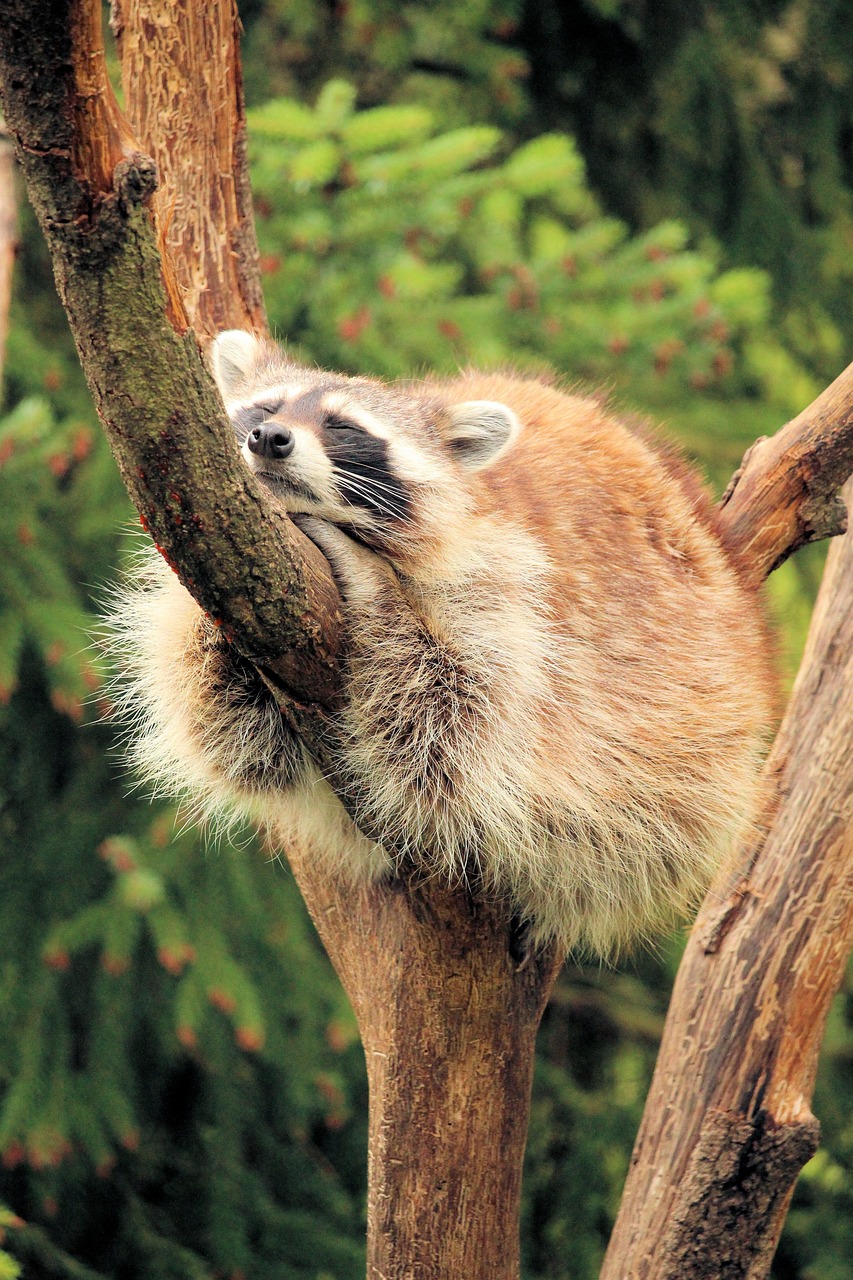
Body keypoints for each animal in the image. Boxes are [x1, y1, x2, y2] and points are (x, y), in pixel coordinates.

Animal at [105, 330, 774, 957]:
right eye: (265, 408)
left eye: (344, 427)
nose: (269, 438)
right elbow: (238, 742)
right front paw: (210, 636)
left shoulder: (512, 593)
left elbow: (454, 725)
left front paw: (375, 589)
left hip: (699, 736)